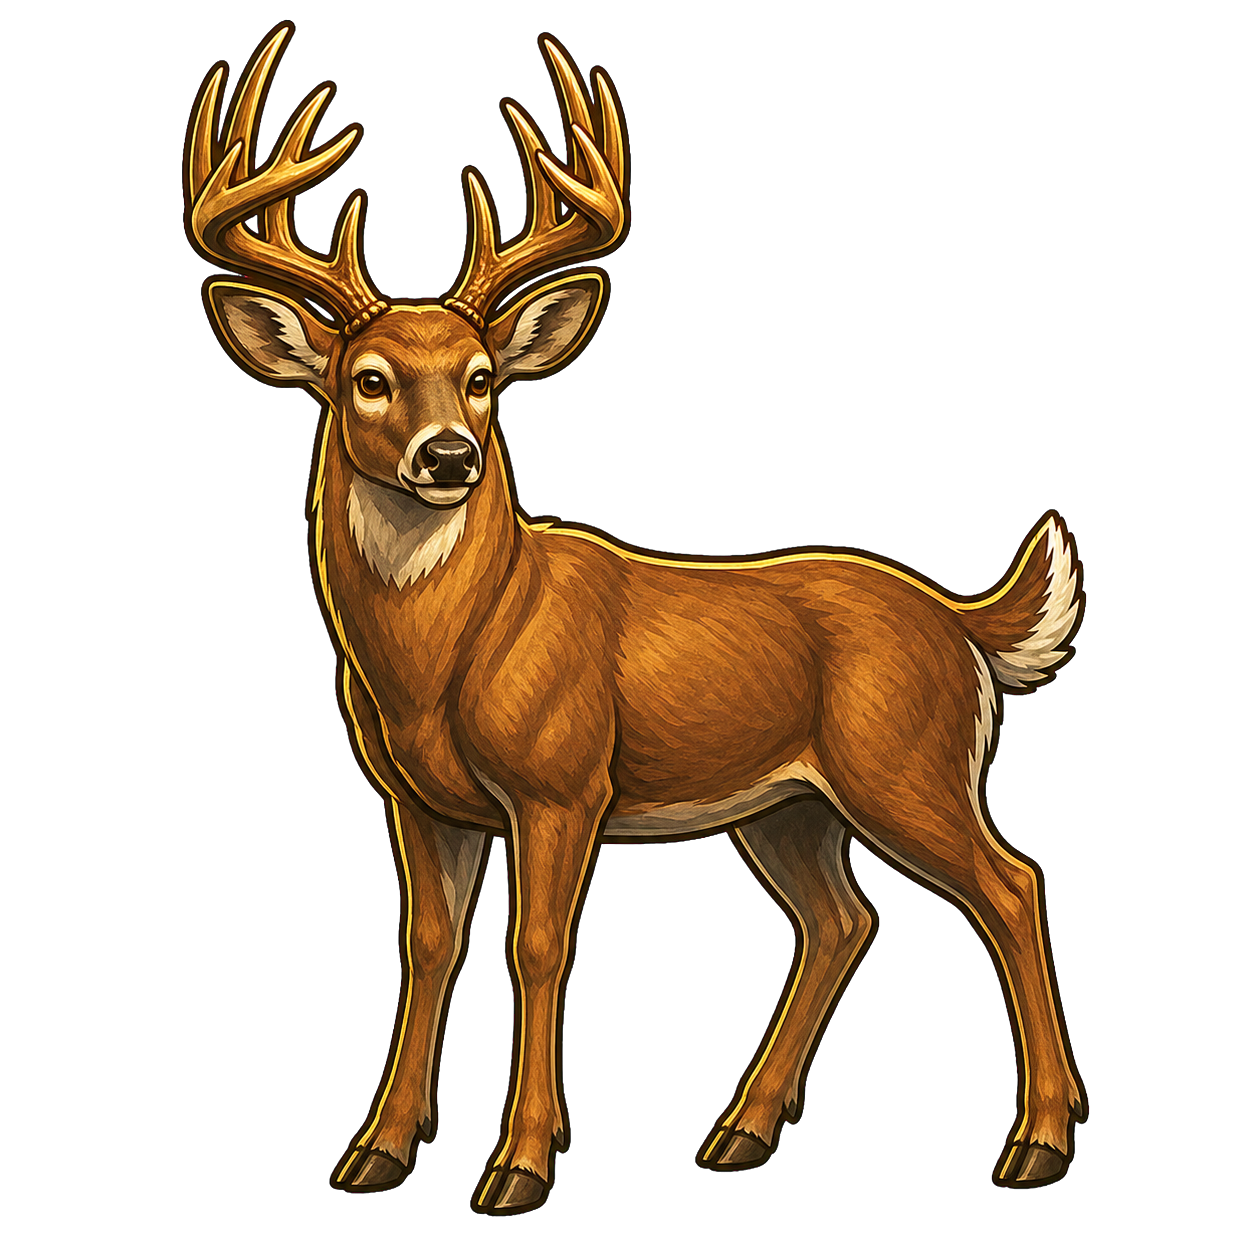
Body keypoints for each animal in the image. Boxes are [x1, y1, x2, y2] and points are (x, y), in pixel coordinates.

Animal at [186, 25, 1086, 1211]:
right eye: (368, 379)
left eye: (482, 378)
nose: (449, 457)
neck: (446, 659)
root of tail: (963, 625)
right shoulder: (418, 798)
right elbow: (427, 945)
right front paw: (377, 1149)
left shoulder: (564, 781)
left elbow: (536, 946)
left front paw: (520, 1162)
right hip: (787, 804)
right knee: (842, 920)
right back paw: (741, 1130)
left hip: (906, 761)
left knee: (1011, 886)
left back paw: (1040, 1140)